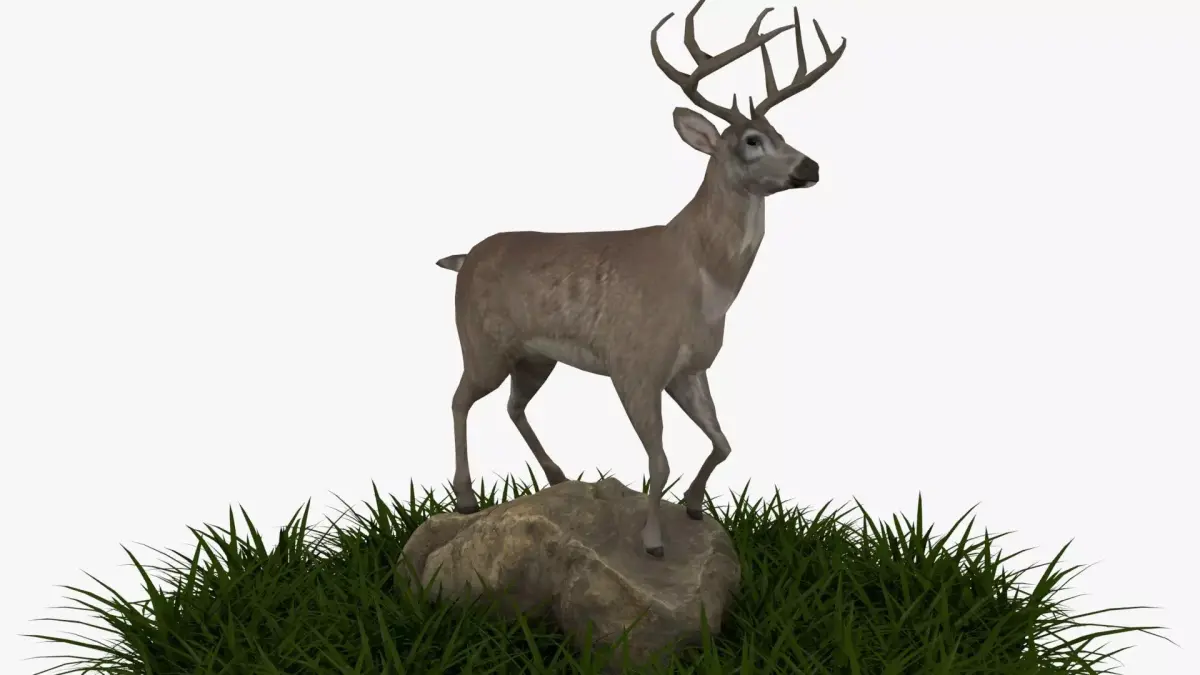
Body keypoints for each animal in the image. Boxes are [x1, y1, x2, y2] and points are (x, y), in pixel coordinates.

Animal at [433, 0, 846, 558]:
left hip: (535, 356)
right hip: (482, 342)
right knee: (459, 399)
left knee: (513, 406)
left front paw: (692, 507)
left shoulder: (690, 368)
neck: (703, 282)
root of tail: (465, 257)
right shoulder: (634, 363)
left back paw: (557, 474)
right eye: (752, 141)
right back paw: (466, 498)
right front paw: (652, 542)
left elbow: (723, 442)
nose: (811, 167)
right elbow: (660, 459)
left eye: (781, 134)